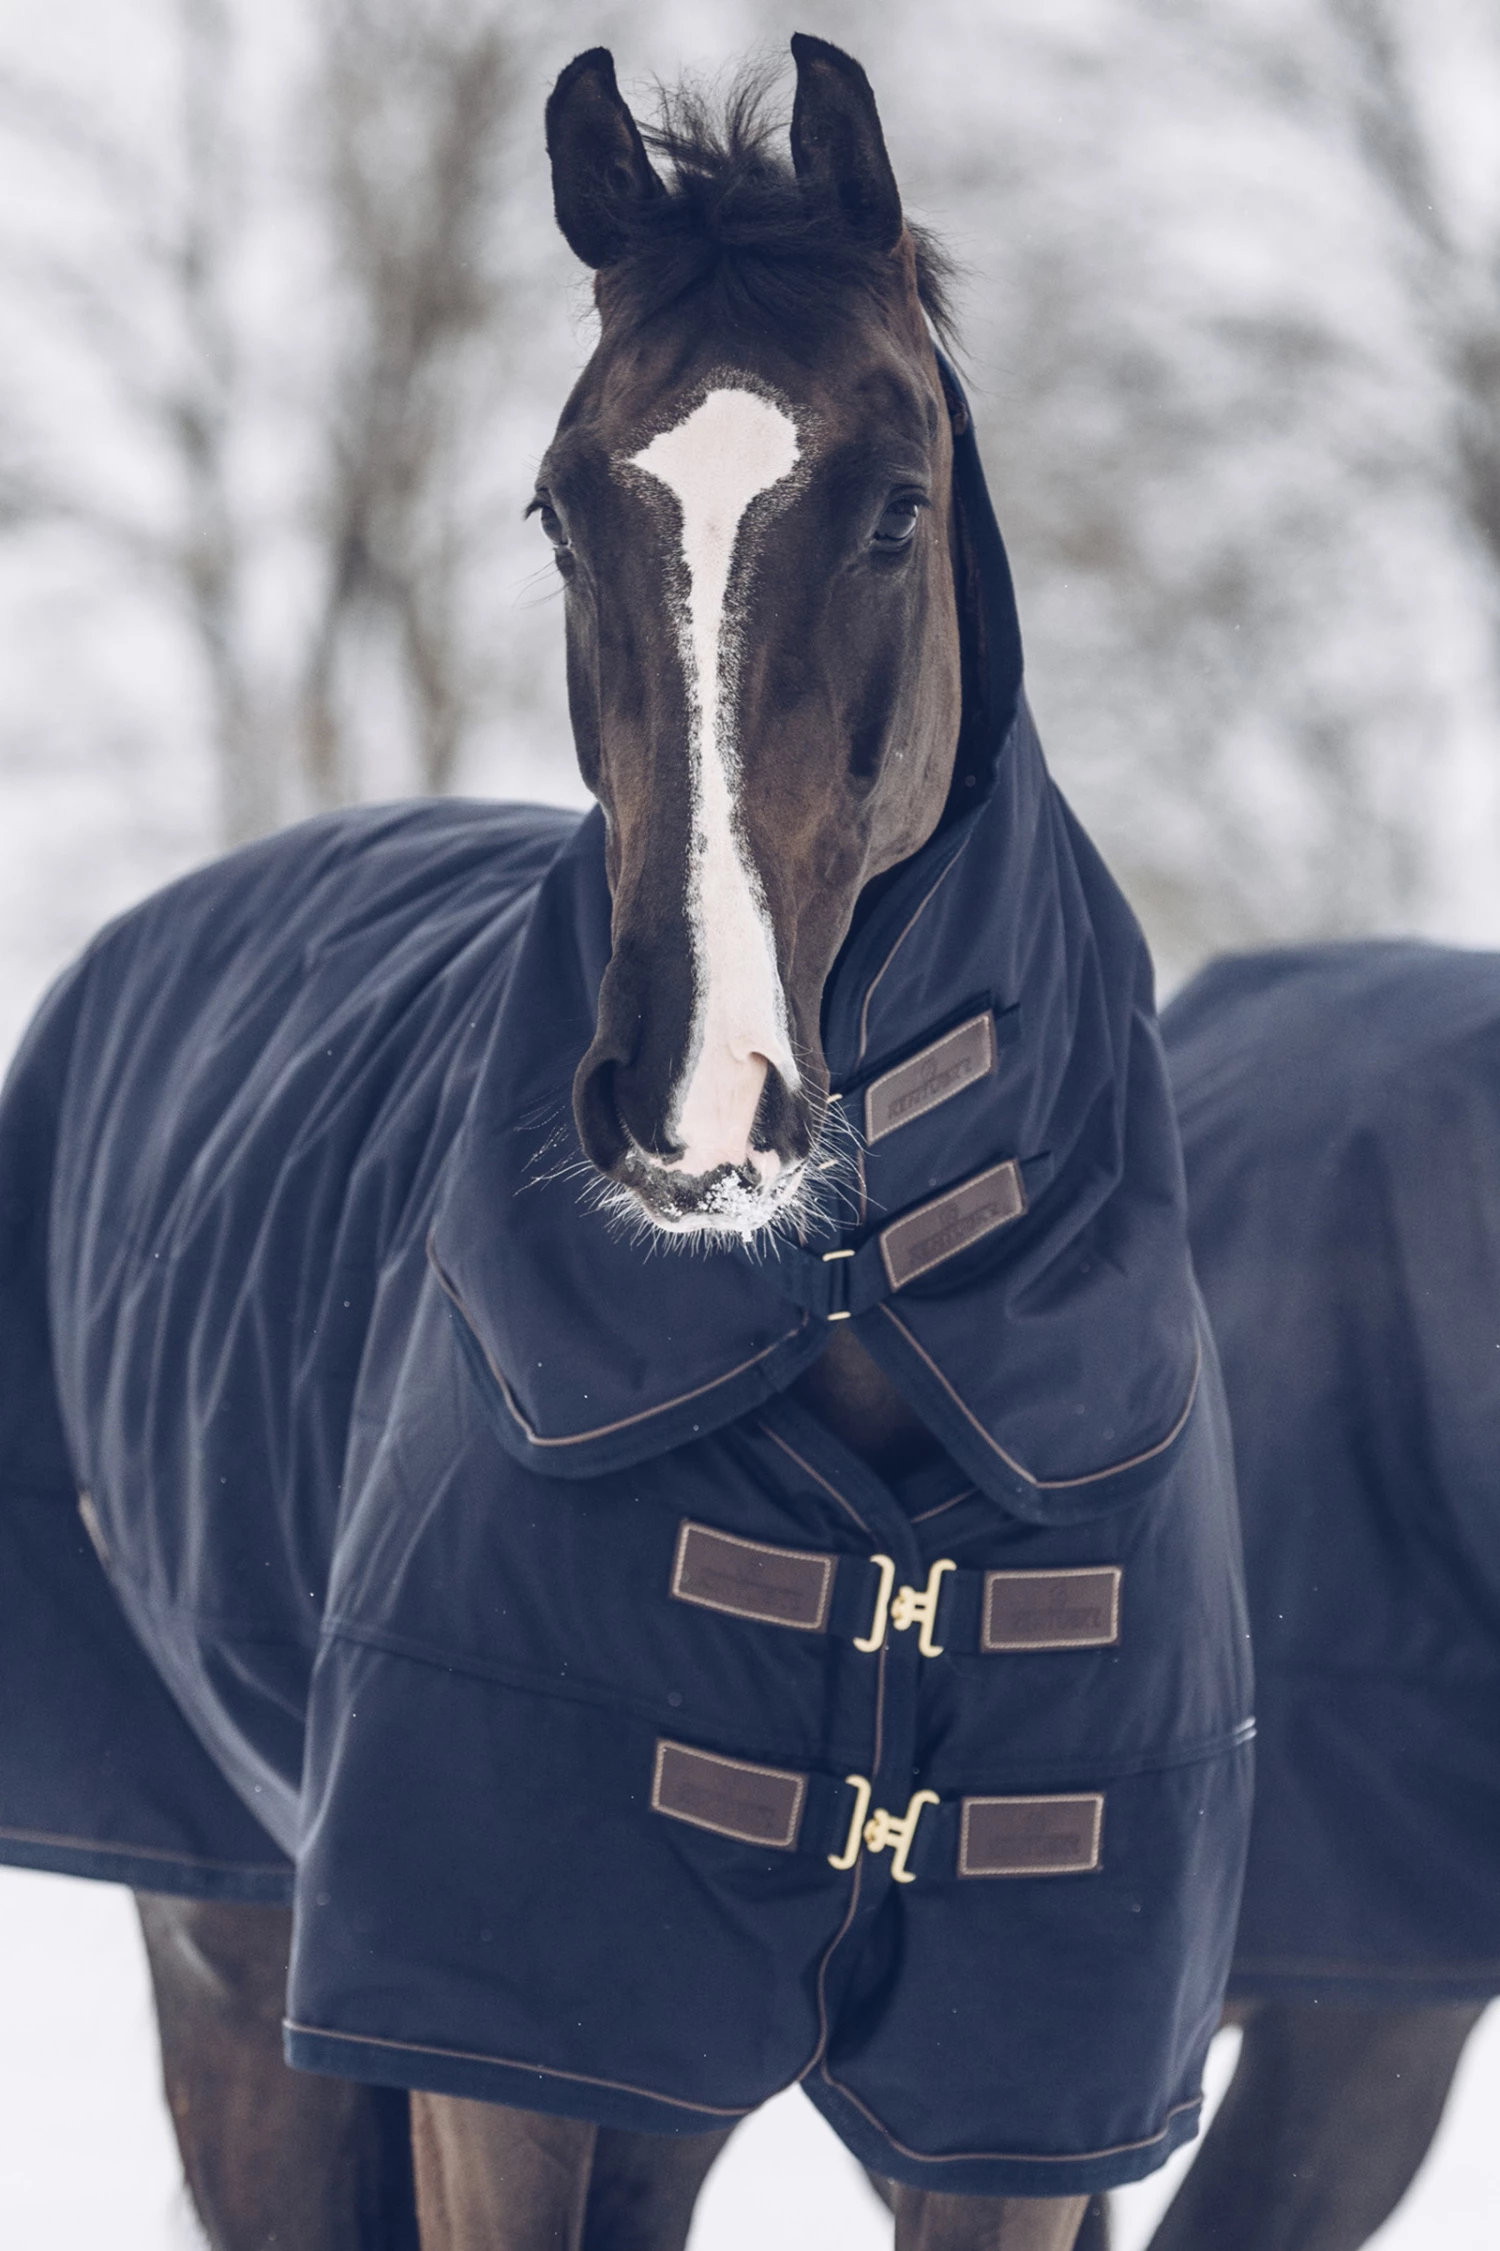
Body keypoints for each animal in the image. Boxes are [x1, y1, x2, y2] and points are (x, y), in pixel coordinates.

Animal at [0, 36, 1252, 2251]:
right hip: (238, 1973)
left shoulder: (1018, 2113)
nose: (696, 1096)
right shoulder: (506, 2052)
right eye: (561, 507)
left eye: (896, 502)